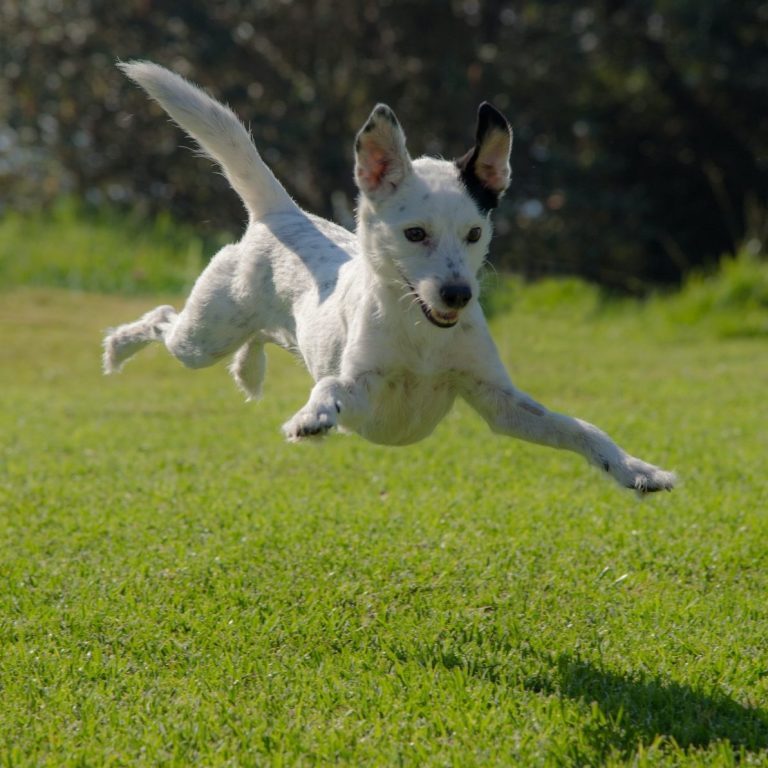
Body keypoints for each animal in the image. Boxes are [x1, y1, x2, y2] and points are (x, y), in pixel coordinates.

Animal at [102, 60, 672, 492]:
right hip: (203, 336)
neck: (422, 338)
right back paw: (118, 348)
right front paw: (312, 417)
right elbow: (331, 385)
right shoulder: (363, 388)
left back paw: (248, 369)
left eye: (474, 233)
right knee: (163, 318)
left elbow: (581, 428)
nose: (458, 294)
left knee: (257, 337)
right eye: (415, 234)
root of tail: (282, 214)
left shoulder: (499, 402)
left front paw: (634, 469)